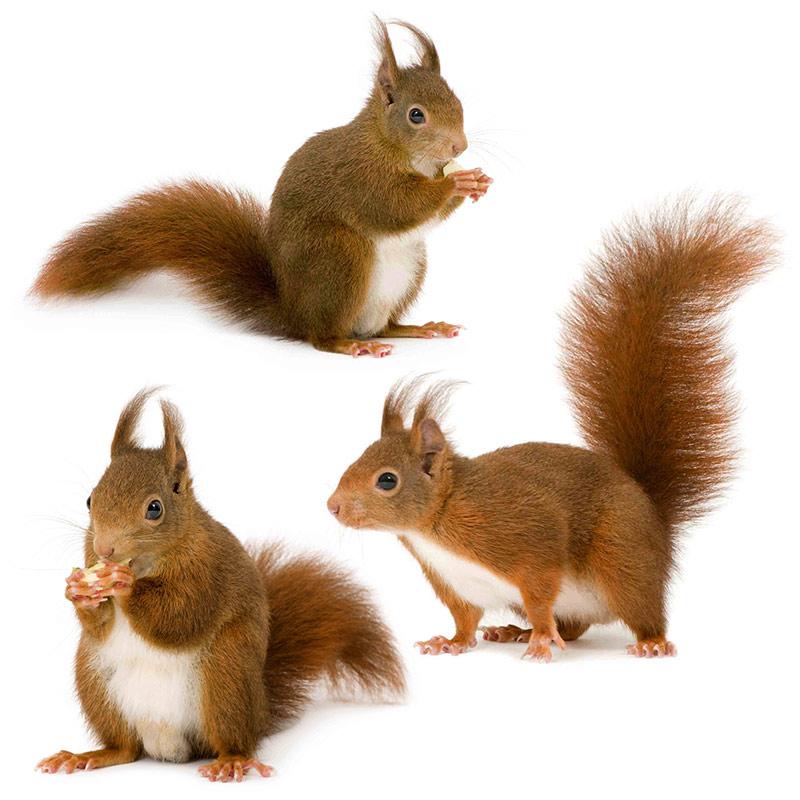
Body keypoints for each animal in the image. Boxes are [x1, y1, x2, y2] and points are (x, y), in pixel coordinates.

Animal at [30, 19, 492, 358]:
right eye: (416, 115)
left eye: (457, 101)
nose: (459, 147)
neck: (391, 145)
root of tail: (293, 312)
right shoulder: (361, 177)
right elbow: (394, 207)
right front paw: (456, 181)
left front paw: (475, 181)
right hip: (338, 256)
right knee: (322, 337)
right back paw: (349, 344)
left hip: (409, 268)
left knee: (386, 326)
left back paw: (418, 328)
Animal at [37, 389, 405, 782]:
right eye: (90, 499)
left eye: (154, 508)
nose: (105, 549)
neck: (149, 562)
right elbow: (99, 625)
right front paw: (78, 592)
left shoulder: (208, 570)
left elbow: (181, 615)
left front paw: (125, 585)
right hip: (95, 683)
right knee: (125, 749)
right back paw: (85, 755)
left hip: (225, 677)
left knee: (230, 738)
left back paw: (232, 761)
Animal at [327, 197, 776, 661]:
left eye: (387, 480)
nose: (333, 506)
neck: (437, 522)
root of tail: (654, 516)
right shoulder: (455, 584)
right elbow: (465, 619)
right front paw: (450, 642)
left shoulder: (527, 539)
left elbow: (541, 592)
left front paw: (541, 638)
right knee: (575, 627)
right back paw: (514, 630)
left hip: (622, 559)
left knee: (640, 609)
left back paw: (648, 641)